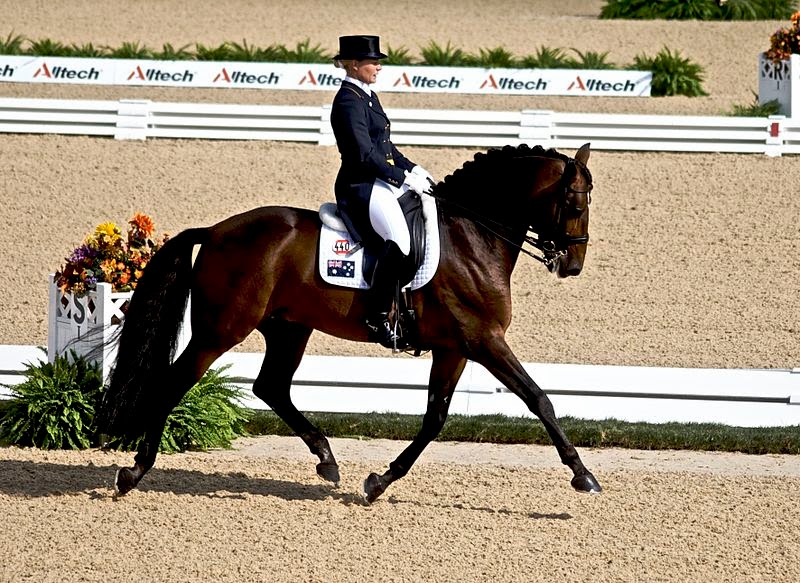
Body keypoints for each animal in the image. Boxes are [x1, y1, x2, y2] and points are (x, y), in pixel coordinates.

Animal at [97, 142, 601, 503]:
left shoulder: (454, 347)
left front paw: (379, 482)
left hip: (288, 327)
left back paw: (326, 458)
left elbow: (435, 418)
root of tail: (217, 231)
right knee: (176, 381)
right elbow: (540, 399)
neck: (471, 236)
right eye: (575, 205)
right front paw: (583, 475)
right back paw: (134, 471)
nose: (573, 265)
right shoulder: (483, 340)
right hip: (220, 330)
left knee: (271, 386)